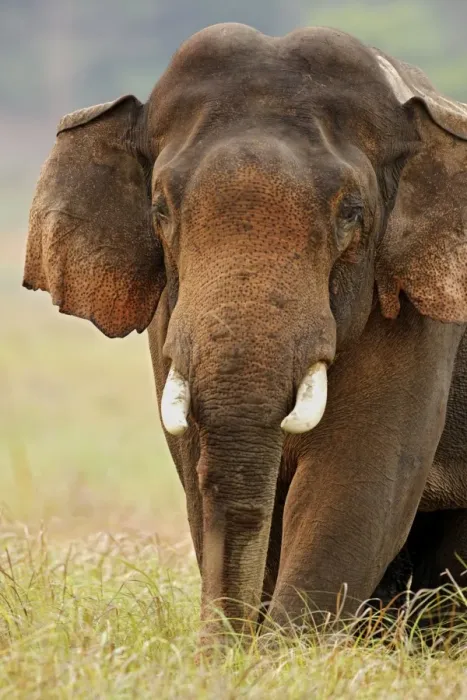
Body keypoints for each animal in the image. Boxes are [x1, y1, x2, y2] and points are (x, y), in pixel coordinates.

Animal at [23, 24, 467, 640]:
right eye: (160, 210)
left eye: (352, 212)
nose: (221, 643)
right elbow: (197, 469)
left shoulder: (418, 315)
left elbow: (356, 479)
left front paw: (283, 650)